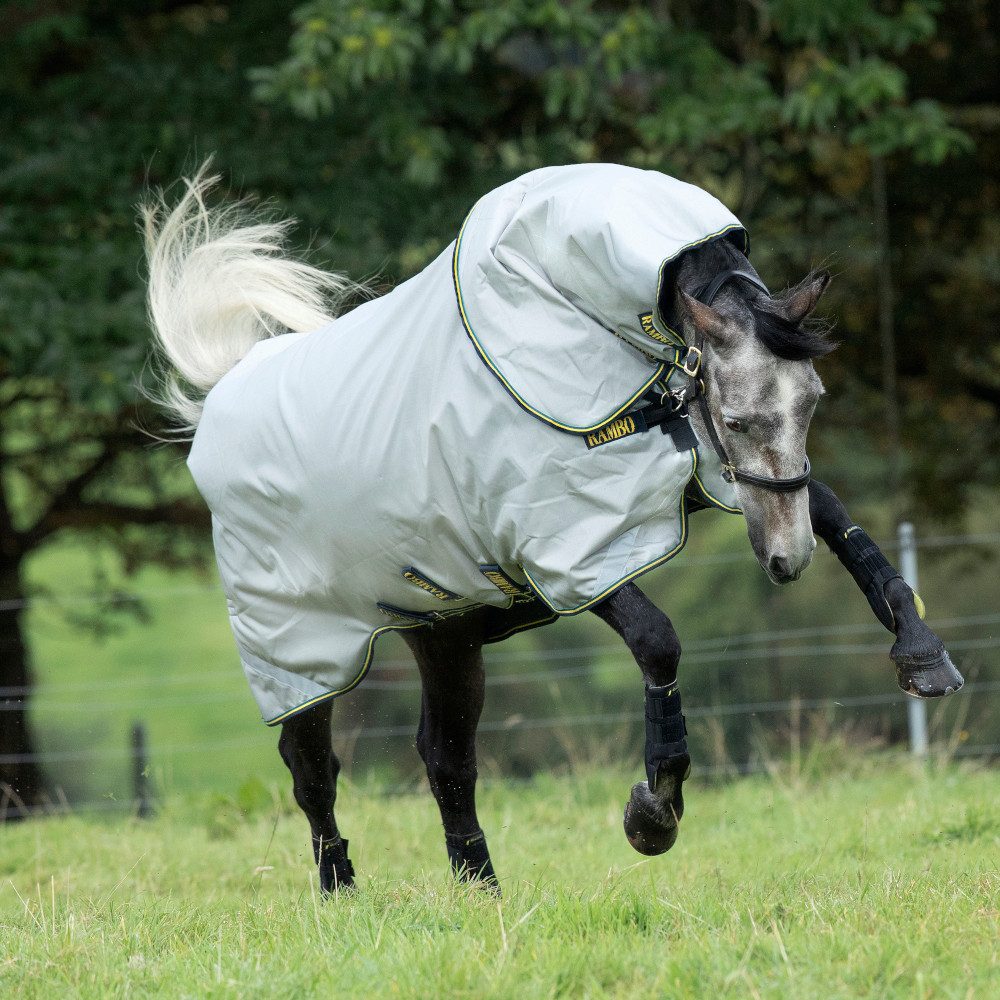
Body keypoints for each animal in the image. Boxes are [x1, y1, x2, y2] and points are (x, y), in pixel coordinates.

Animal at [143, 162, 963, 893]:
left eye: (813, 401)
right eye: (735, 419)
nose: (786, 562)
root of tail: (224, 392)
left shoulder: (701, 474)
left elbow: (836, 516)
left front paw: (923, 657)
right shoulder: (568, 548)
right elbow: (657, 641)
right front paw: (654, 813)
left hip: (442, 633)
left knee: (446, 758)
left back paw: (481, 891)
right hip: (300, 650)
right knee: (312, 769)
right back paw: (340, 892)